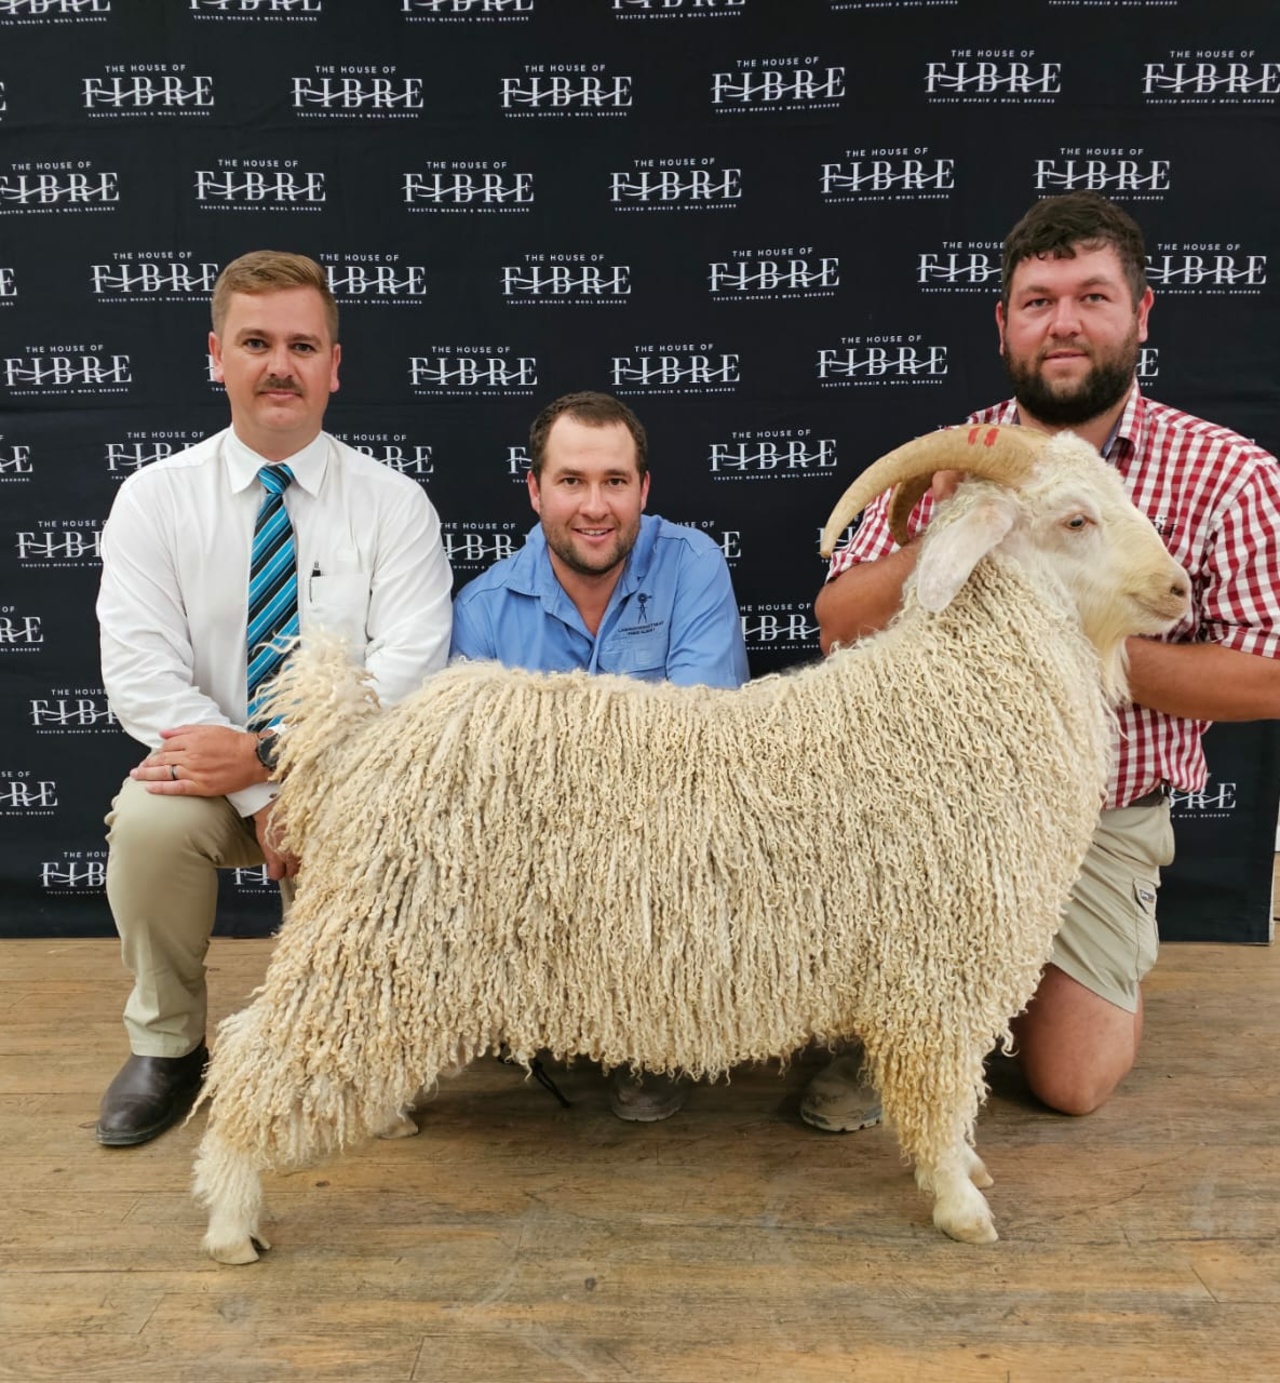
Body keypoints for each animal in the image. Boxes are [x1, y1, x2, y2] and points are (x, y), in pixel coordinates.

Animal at [193, 425, 1194, 1261]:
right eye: (1074, 518)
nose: (1182, 587)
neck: (959, 694)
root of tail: (362, 738)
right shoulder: (937, 973)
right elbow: (943, 1095)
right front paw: (961, 1204)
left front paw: (971, 1171)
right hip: (370, 939)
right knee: (252, 1057)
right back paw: (234, 1221)